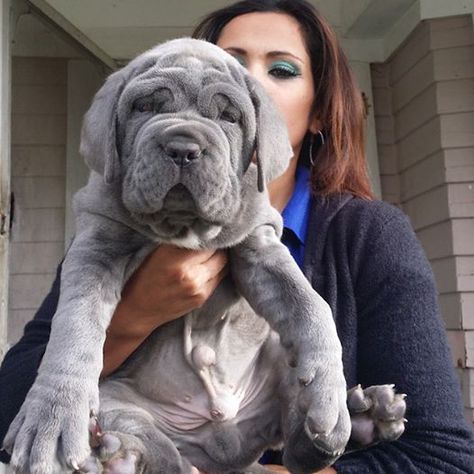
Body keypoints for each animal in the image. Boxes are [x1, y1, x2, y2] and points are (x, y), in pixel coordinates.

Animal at [3, 39, 406, 472]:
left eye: (229, 116)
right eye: (144, 107)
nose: (183, 147)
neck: (183, 227)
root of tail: (224, 449)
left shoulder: (260, 247)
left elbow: (310, 305)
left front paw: (328, 391)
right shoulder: (97, 243)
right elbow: (74, 325)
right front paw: (53, 417)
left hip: (279, 362)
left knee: (300, 448)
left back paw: (364, 417)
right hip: (119, 405)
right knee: (166, 456)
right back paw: (119, 456)